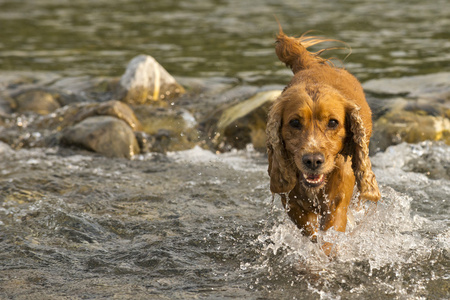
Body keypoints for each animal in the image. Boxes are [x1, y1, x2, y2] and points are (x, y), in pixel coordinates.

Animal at [268, 28, 380, 250]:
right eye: (295, 122)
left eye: (333, 123)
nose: (313, 161)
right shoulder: (292, 202)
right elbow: (310, 231)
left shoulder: (337, 205)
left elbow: (329, 236)